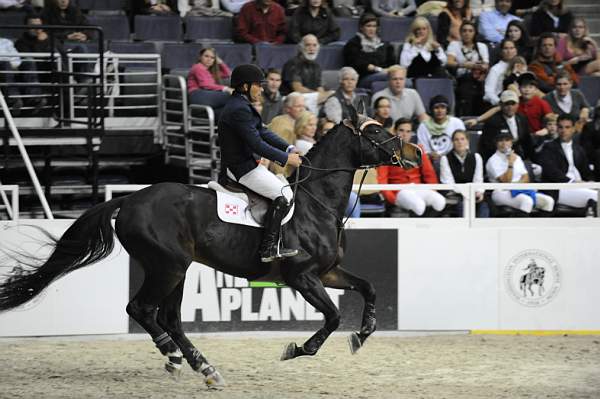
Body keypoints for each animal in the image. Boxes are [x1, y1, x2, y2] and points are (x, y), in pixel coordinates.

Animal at [0, 108, 422, 388]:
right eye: (377, 131)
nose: (416, 153)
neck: (316, 202)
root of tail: (131, 198)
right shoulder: (302, 277)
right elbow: (332, 317)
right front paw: (297, 349)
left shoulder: (328, 272)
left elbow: (368, 288)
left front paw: (362, 334)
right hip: (168, 266)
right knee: (142, 309)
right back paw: (174, 356)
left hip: (177, 269)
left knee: (169, 317)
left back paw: (203, 368)